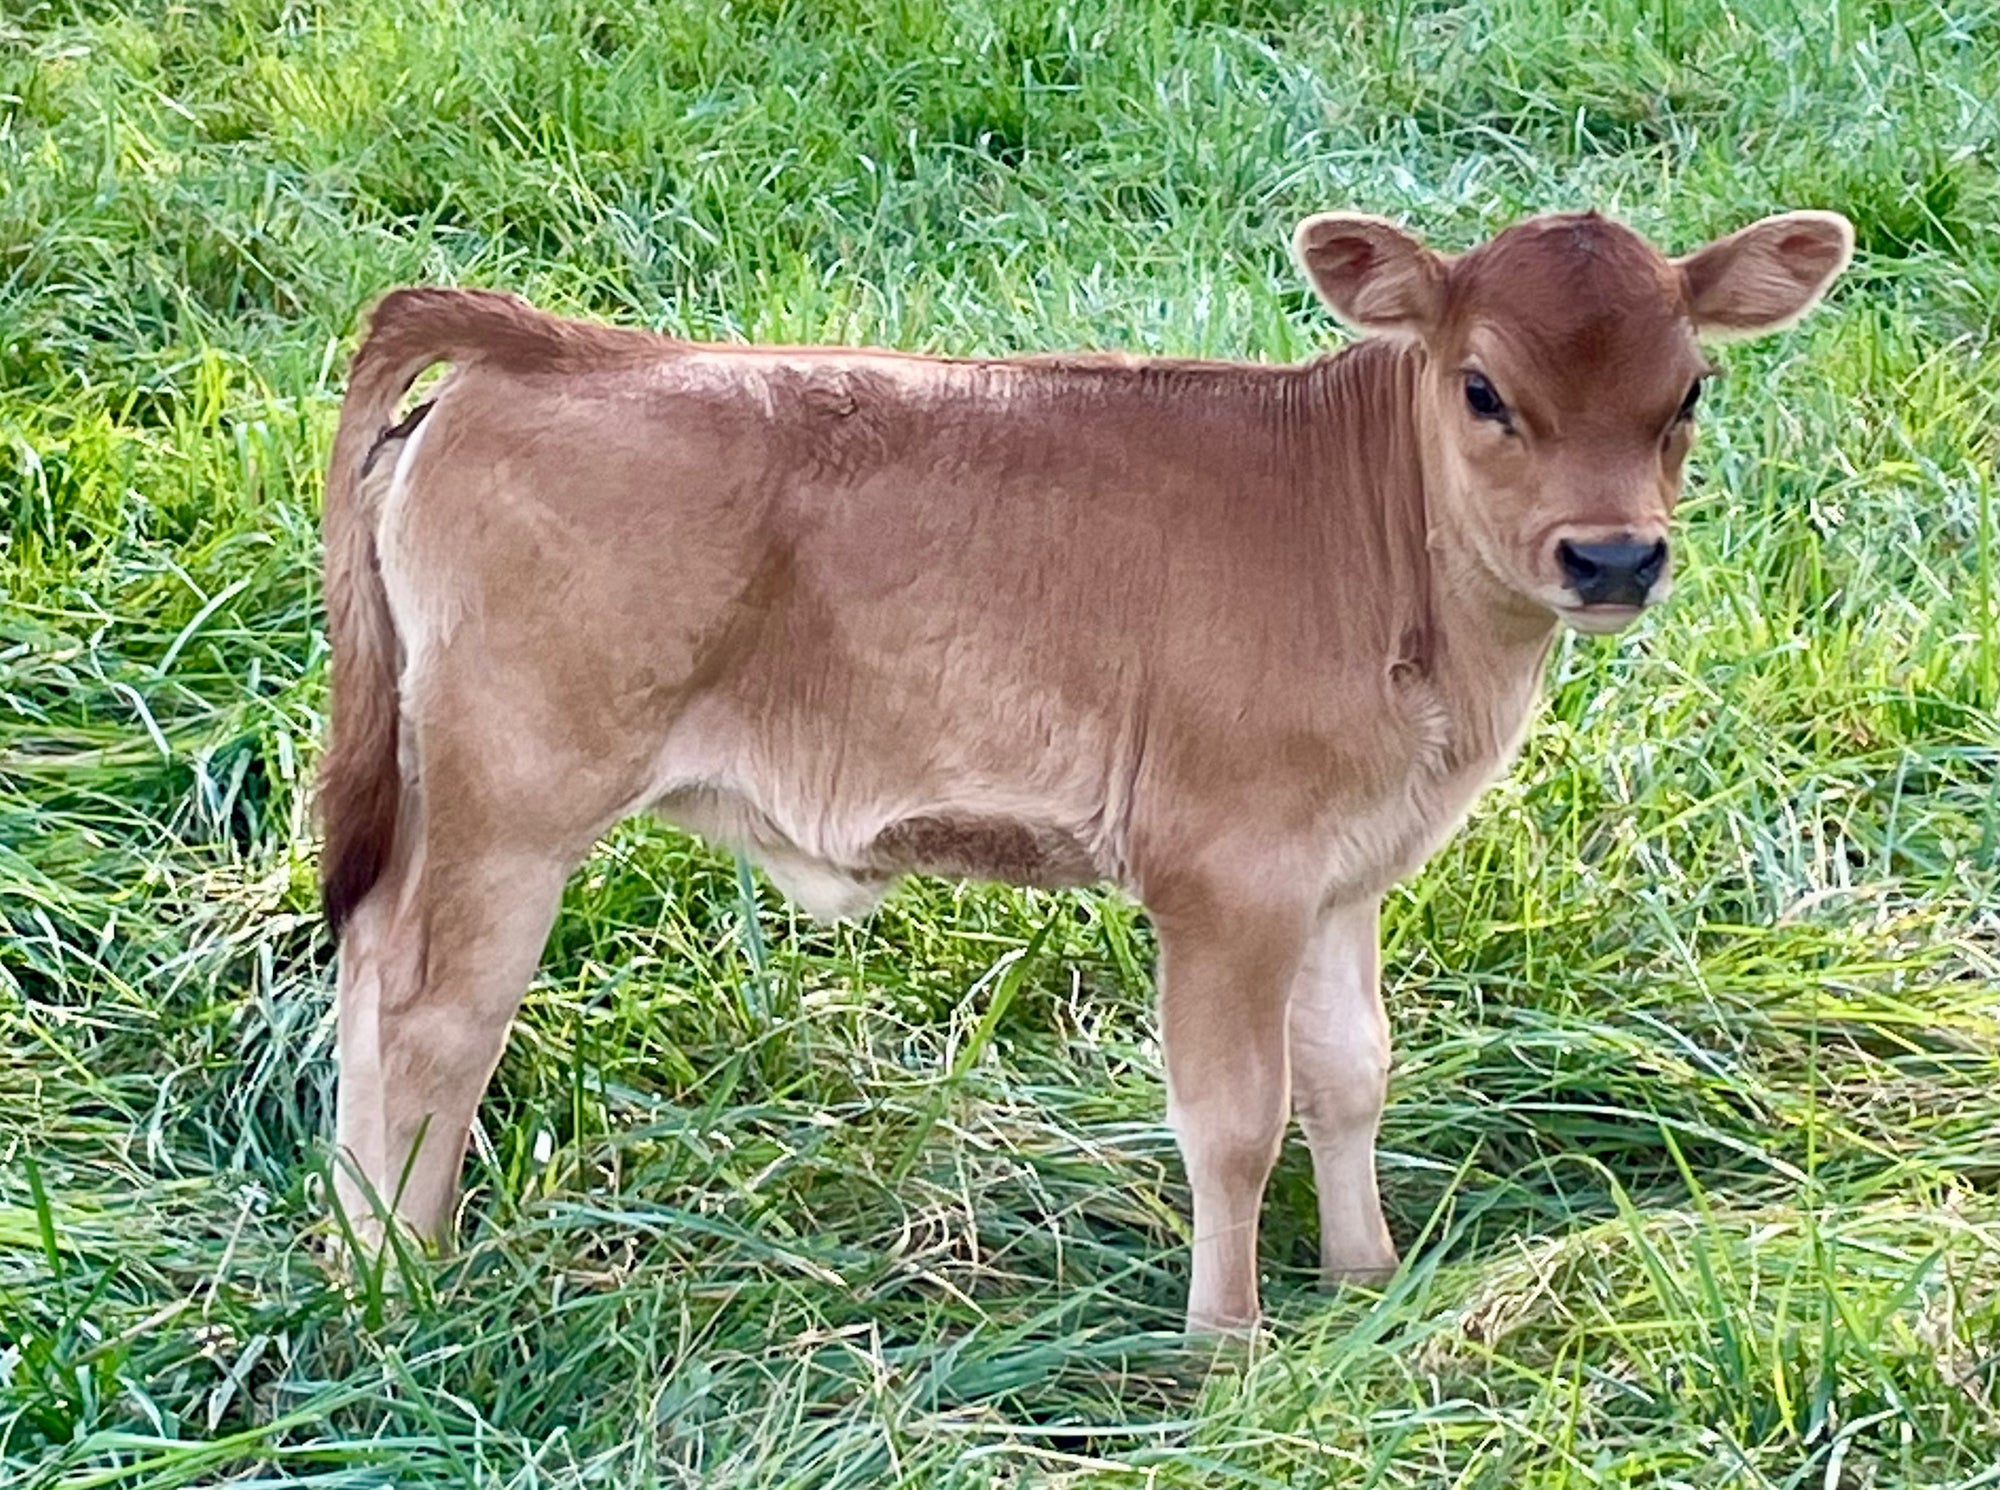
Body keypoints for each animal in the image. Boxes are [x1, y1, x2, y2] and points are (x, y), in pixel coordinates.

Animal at [318, 208, 1853, 1332]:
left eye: (1688, 391)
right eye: (1484, 389)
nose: (1613, 556)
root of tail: (559, 345)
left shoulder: (1342, 873)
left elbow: (1352, 1071)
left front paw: (1365, 1282)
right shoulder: (1225, 874)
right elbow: (1233, 1119)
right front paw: (1227, 1346)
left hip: (440, 785)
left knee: (366, 964)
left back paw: (352, 1248)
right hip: (517, 793)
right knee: (437, 1013)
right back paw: (408, 1283)